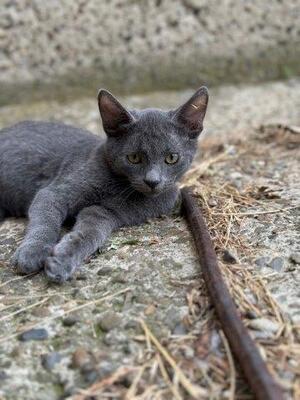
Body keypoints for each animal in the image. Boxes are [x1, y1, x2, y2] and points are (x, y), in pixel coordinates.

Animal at [0, 87, 209, 282]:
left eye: (172, 158)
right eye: (134, 158)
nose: (152, 181)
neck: (117, 186)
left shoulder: (107, 213)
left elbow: (90, 233)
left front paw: (62, 260)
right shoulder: (54, 193)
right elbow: (45, 221)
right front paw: (32, 252)